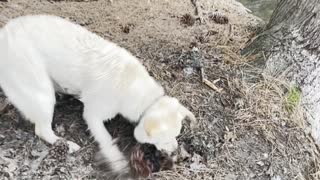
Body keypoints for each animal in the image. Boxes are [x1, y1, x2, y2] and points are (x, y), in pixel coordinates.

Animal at [0, 15, 195, 173]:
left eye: (177, 134)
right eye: (165, 137)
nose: (175, 152)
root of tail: (4, 33)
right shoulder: (92, 115)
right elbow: (107, 141)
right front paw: (118, 163)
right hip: (42, 94)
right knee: (42, 130)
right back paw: (67, 145)